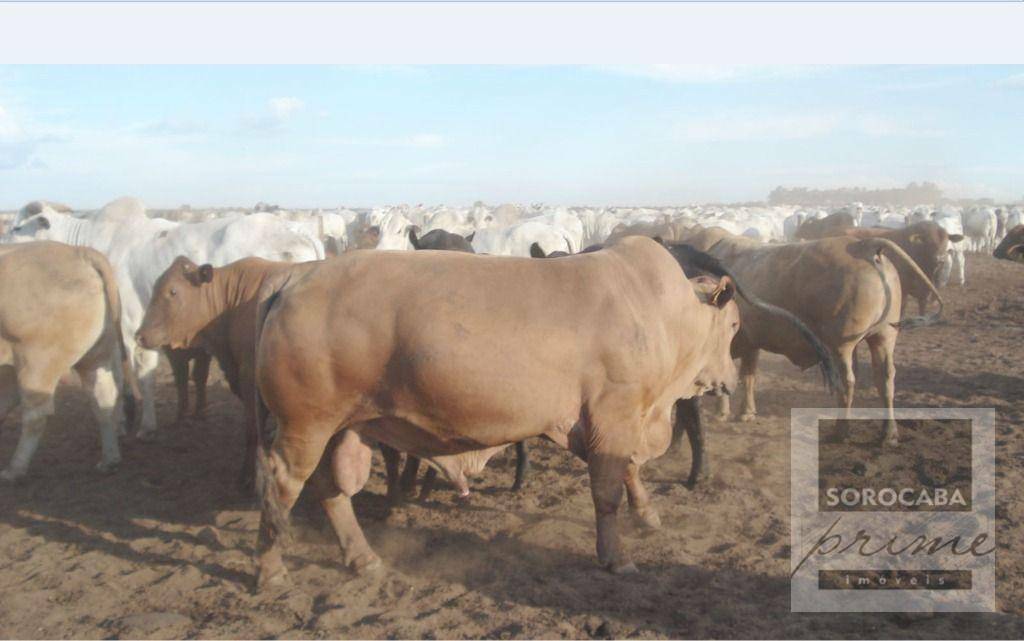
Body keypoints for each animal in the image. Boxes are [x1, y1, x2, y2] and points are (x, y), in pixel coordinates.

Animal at [0, 239, 139, 479]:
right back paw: (109, 459)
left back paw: (15, 469)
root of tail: (78, 252)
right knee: (103, 399)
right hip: (97, 356)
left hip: (37, 362)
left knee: (36, 414)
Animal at [4, 197, 323, 436]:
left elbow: (137, 374)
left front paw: (141, 422)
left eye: (18, 227)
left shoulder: (130, 327)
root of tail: (298, 230)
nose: (4, 247)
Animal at [249, 235, 745, 585]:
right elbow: (608, 490)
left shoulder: (606, 423)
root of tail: (295, 278)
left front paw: (648, 516)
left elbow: (628, 472)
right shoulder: (615, 413)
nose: (732, 380)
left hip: (339, 427)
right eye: (735, 324)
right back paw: (270, 570)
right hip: (305, 426)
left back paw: (362, 558)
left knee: (330, 489)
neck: (658, 311)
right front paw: (616, 556)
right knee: (282, 485)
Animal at [671, 226, 942, 444]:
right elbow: (748, 376)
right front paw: (746, 411)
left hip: (840, 346)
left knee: (847, 382)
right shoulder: (752, 341)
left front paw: (722, 411)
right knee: (885, 379)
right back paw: (889, 433)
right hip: (884, 337)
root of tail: (863, 246)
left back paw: (841, 430)